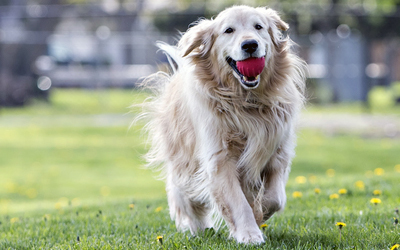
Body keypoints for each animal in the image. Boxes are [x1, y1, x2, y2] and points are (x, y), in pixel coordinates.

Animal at [141, 5, 306, 244]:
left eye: (258, 27)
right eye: (229, 30)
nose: (250, 45)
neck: (247, 102)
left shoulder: (278, 151)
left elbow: (275, 198)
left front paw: (259, 213)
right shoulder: (220, 158)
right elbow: (238, 202)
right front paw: (248, 233)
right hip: (184, 165)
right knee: (186, 201)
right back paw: (198, 228)